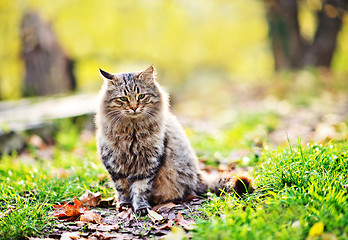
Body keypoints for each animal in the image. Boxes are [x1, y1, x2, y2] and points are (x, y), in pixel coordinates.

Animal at [95, 65, 253, 216]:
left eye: (141, 96)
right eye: (123, 99)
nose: (134, 108)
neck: (131, 132)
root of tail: (199, 176)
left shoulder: (147, 165)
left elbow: (140, 190)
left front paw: (141, 208)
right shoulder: (115, 165)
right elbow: (122, 189)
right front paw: (124, 205)